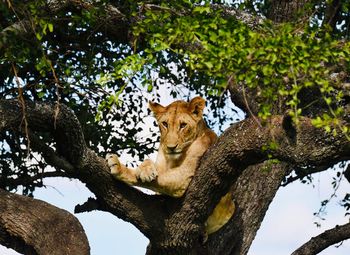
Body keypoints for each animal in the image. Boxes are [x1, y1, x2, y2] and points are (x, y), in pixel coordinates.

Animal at [105, 96, 234, 235]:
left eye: (183, 125)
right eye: (165, 124)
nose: (171, 147)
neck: (173, 160)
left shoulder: (184, 176)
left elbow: (150, 180)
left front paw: (118, 166)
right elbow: (148, 162)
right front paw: (146, 169)